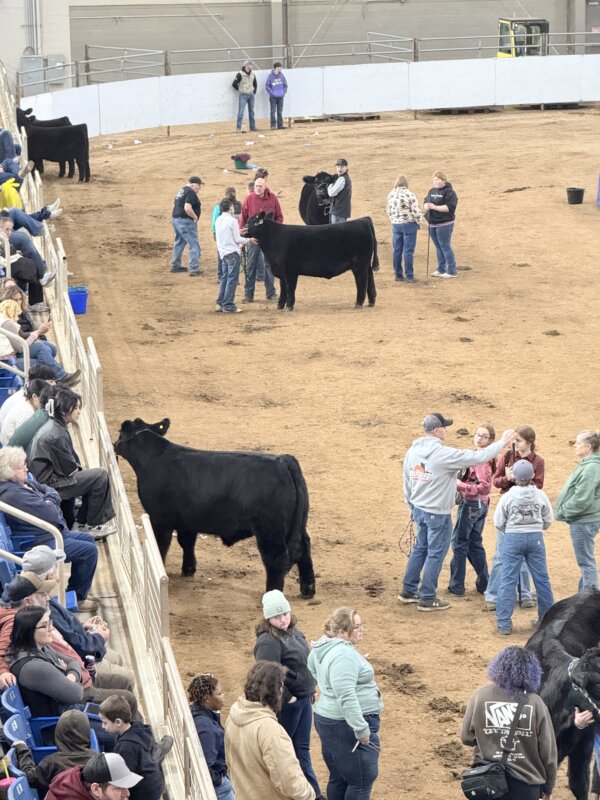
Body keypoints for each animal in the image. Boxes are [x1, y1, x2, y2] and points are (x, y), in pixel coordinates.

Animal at [114, 417, 316, 598]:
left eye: (119, 432)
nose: (115, 444)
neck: (154, 458)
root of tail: (283, 460)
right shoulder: (188, 519)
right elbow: (187, 542)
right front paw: (189, 569)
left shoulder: (160, 520)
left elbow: (161, 547)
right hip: (298, 525)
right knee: (305, 548)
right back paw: (308, 590)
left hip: (270, 531)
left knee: (276, 560)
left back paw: (272, 593)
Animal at [245, 211, 379, 310]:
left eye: (252, 221)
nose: (243, 229)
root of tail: (364, 220)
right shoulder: (281, 271)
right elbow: (283, 288)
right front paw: (280, 306)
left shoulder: (290, 271)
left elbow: (290, 288)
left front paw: (289, 306)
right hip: (365, 264)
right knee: (370, 278)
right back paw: (371, 302)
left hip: (359, 264)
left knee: (362, 281)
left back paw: (358, 304)